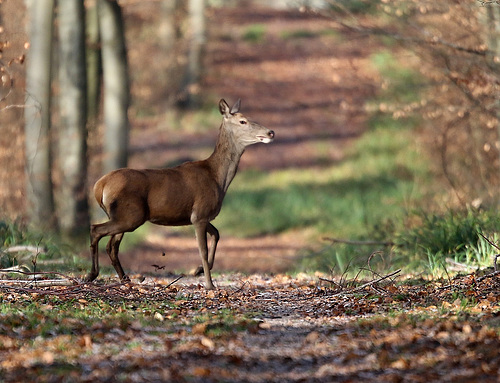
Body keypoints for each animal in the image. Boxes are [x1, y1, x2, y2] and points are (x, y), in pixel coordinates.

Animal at [84, 100, 276, 292]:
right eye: (243, 121)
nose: (271, 132)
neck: (217, 178)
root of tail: (99, 186)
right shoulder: (200, 214)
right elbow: (203, 250)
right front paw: (209, 284)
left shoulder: (197, 216)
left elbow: (217, 234)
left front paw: (198, 270)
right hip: (131, 214)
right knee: (96, 230)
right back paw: (93, 274)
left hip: (123, 215)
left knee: (111, 245)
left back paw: (124, 279)